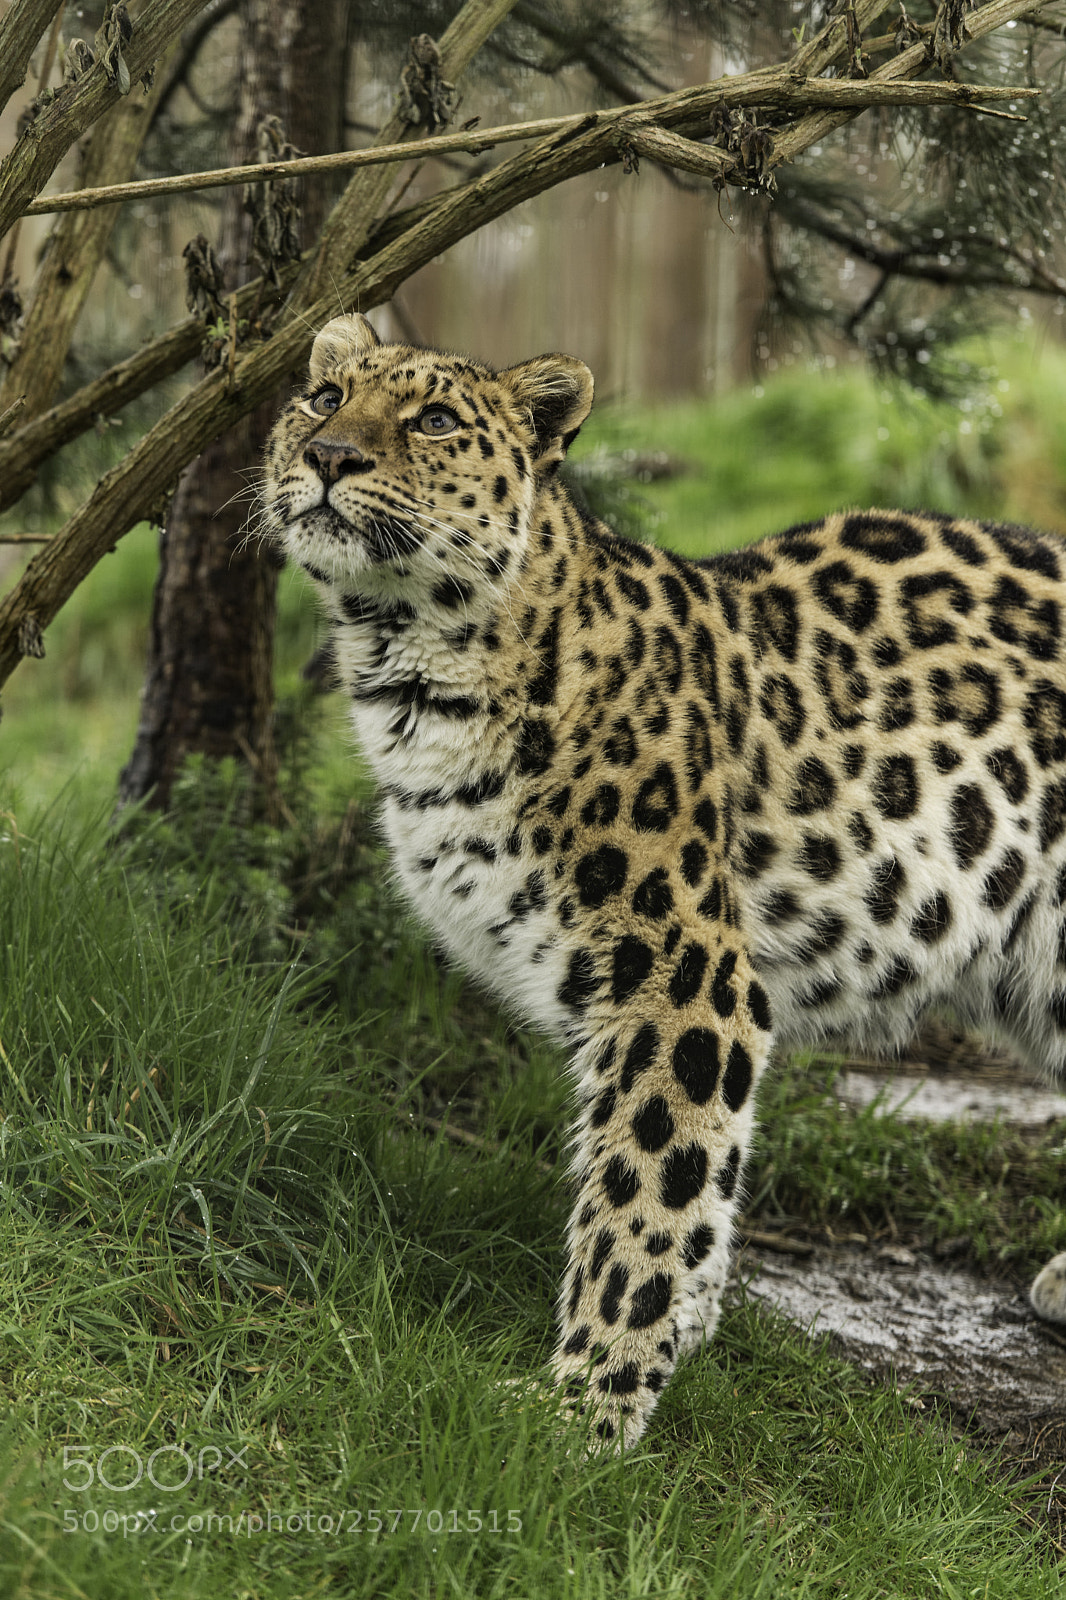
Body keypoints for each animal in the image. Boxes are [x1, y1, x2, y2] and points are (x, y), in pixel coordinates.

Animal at [262, 311, 1066, 1451]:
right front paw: (679, 1336)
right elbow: (693, 1189)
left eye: (434, 422)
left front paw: (584, 1409)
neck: (415, 673)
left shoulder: (683, 980)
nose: (330, 456)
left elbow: (646, 1188)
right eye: (325, 397)